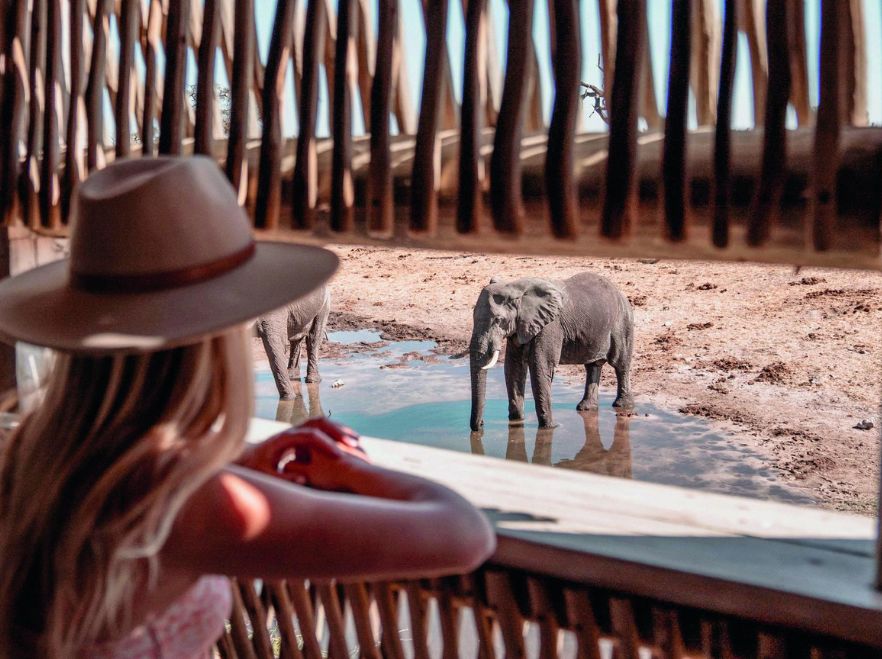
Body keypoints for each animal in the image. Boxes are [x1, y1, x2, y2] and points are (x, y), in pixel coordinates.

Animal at [469, 272, 633, 430]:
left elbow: (540, 367)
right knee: (593, 365)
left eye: (498, 320)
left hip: (622, 321)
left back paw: (622, 405)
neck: (516, 286)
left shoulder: (550, 325)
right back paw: (586, 408)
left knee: (620, 363)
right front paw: (516, 421)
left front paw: (550, 427)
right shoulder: (520, 327)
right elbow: (513, 368)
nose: (481, 424)